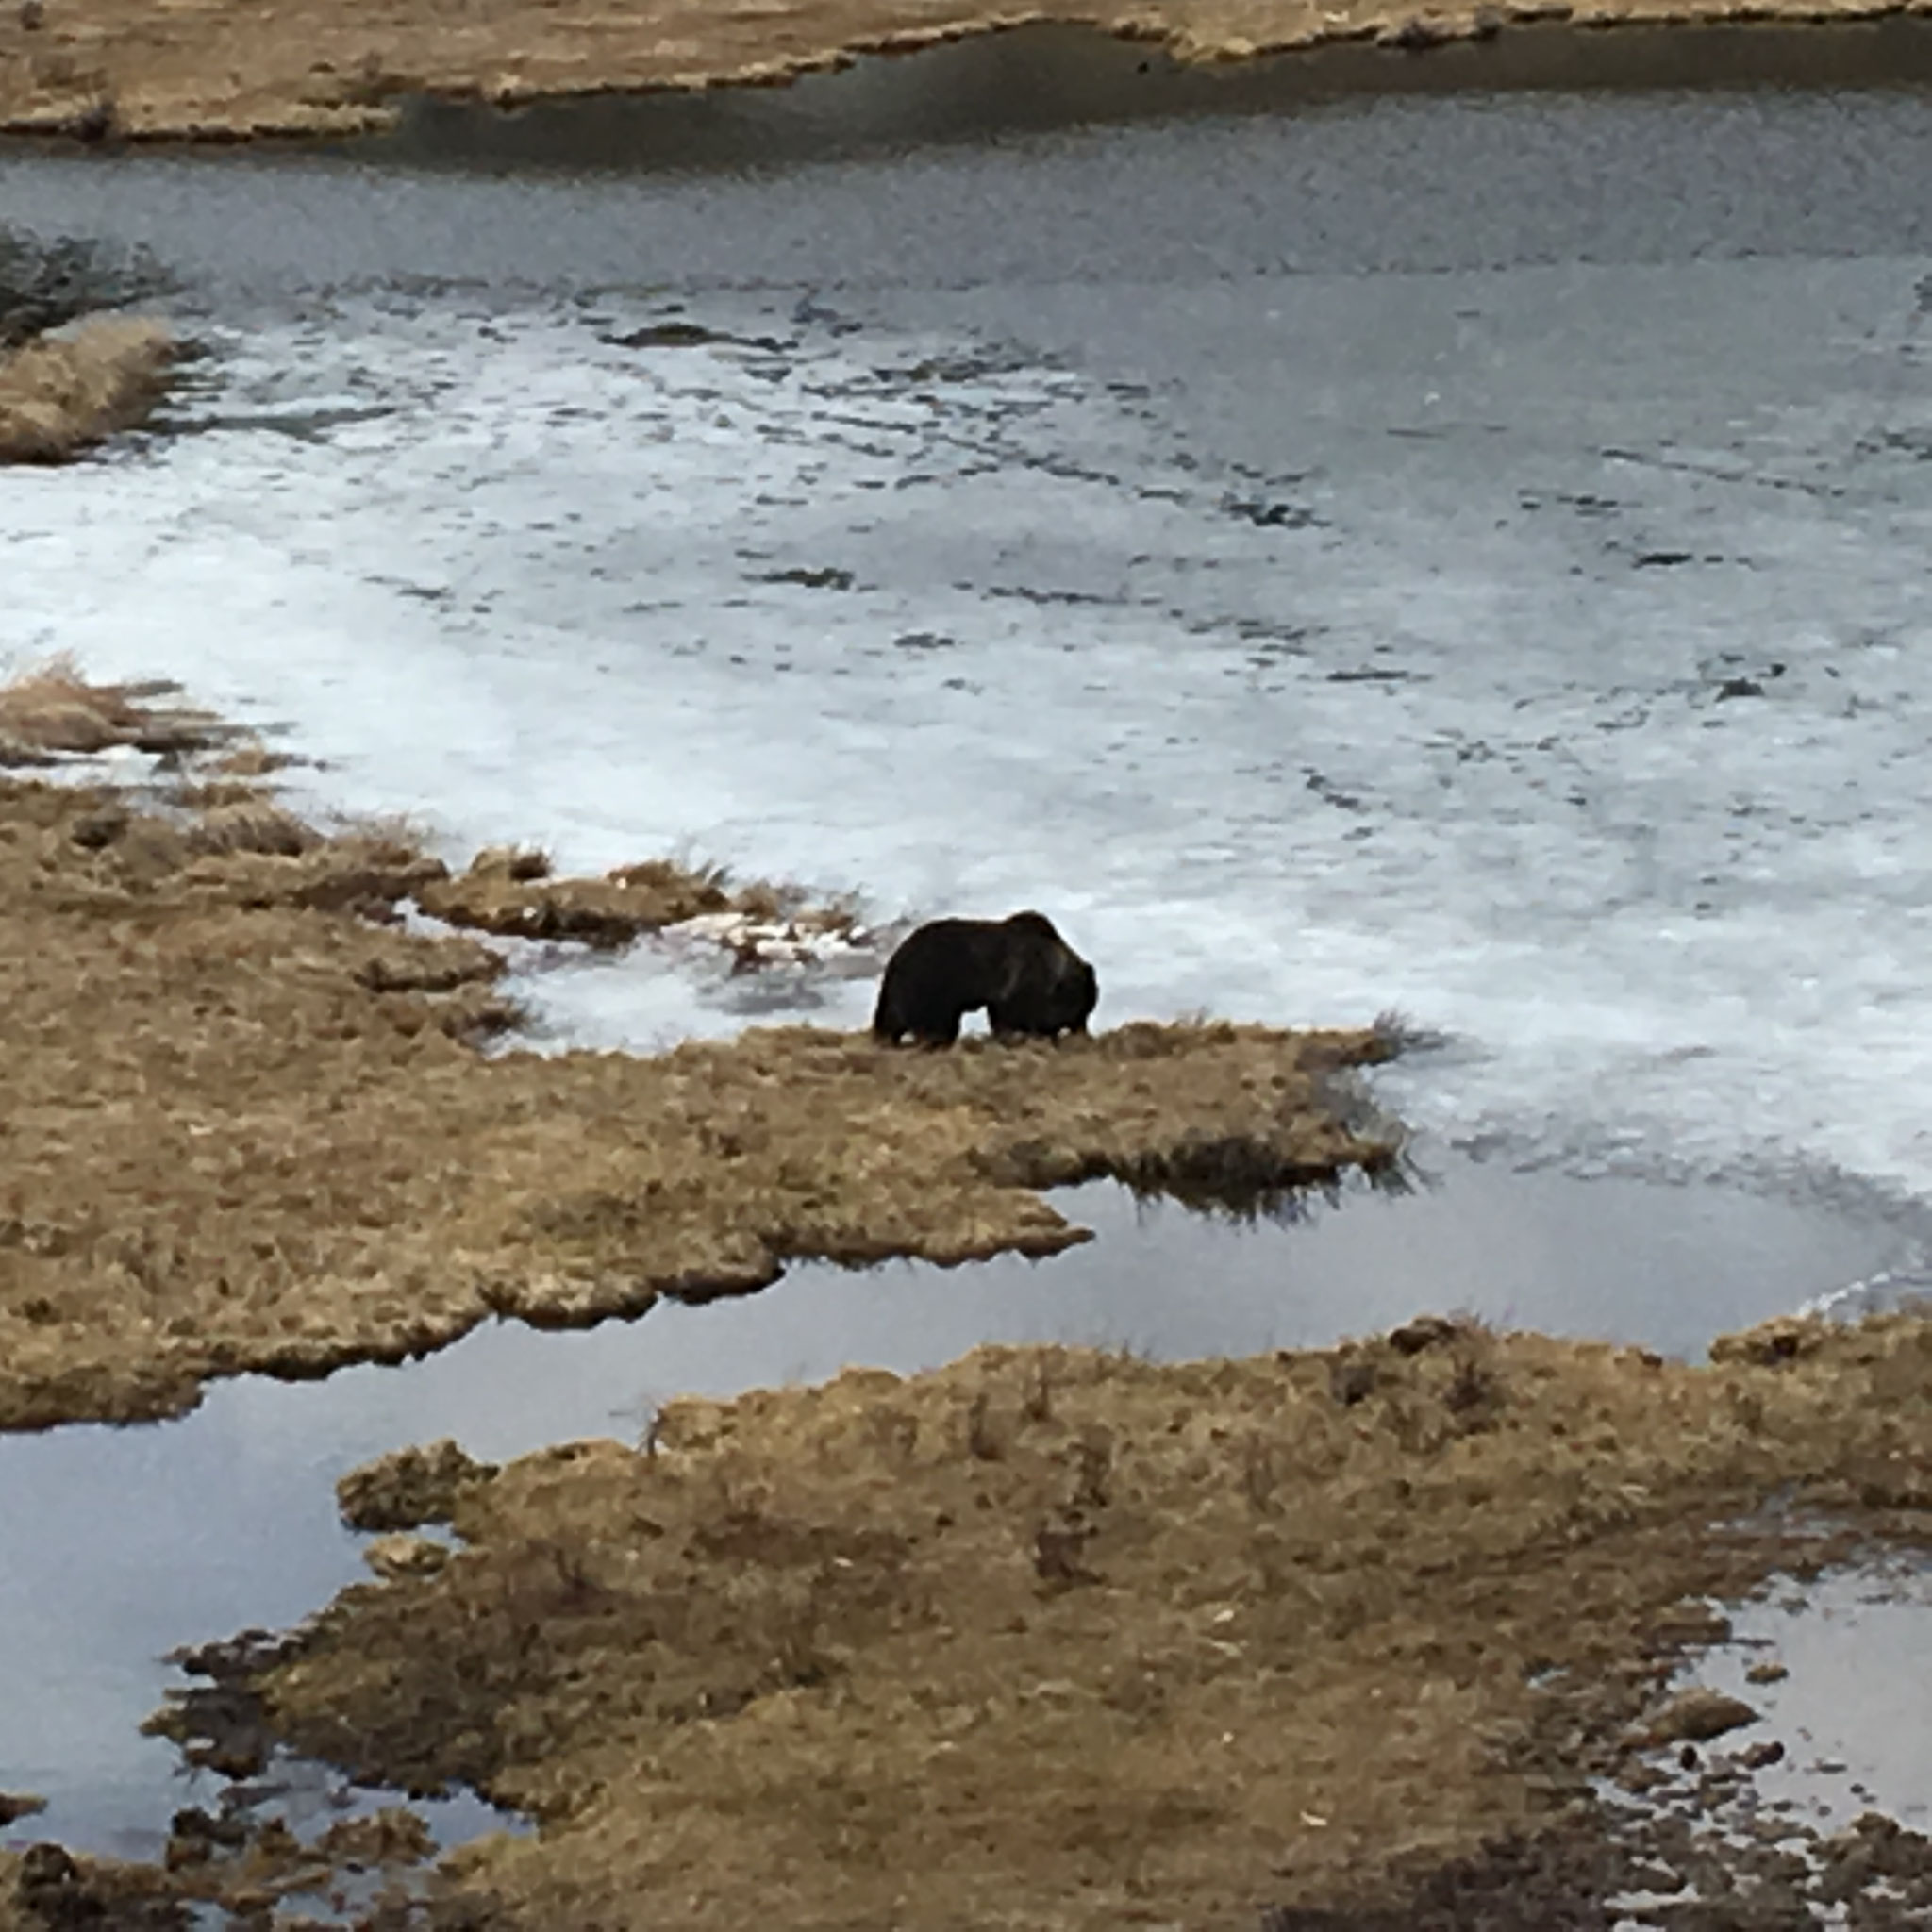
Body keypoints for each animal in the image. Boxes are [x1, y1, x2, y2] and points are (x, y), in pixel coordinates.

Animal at [869, 908, 1097, 1051]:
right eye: (1083, 1011)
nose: (1085, 1034)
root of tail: (894, 962)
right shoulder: (1018, 989)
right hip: (928, 988)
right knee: (935, 1027)